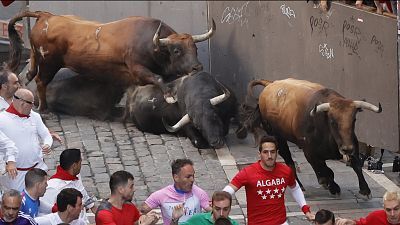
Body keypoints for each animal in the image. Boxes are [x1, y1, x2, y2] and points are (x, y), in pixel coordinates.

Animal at [6, 10, 214, 111]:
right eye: (177, 50)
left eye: (195, 48)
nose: (197, 67)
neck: (151, 43)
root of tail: (46, 16)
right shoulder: (137, 69)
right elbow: (158, 78)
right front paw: (170, 96)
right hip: (49, 64)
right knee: (40, 81)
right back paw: (43, 107)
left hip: (37, 58)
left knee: (29, 74)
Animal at [236, 78, 382, 197]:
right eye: (333, 121)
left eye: (354, 120)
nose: (347, 149)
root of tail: (270, 84)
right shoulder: (310, 153)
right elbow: (326, 172)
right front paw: (332, 186)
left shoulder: (353, 143)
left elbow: (356, 165)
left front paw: (365, 190)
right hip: (277, 137)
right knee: (289, 161)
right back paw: (300, 186)